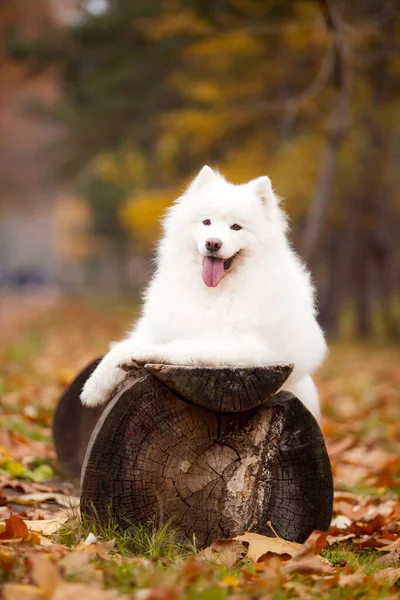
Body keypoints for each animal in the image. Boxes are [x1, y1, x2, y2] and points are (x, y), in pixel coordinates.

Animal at [79, 164, 326, 418]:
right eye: (206, 222)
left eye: (236, 227)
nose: (213, 243)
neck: (211, 291)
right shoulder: (160, 327)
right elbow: (120, 348)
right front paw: (93, 388)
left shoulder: (244, 346)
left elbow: (180, 346)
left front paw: (142, 355)